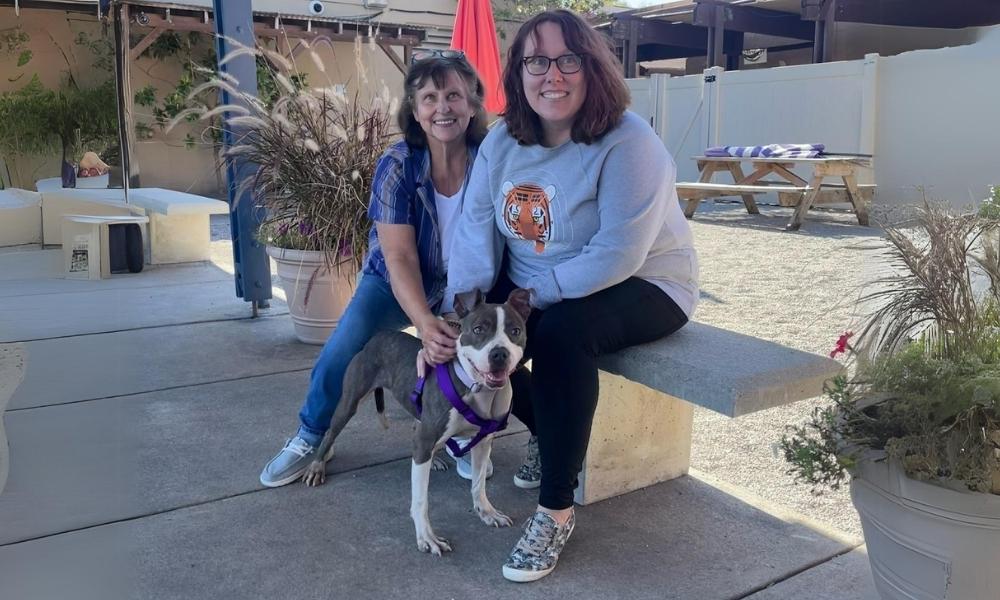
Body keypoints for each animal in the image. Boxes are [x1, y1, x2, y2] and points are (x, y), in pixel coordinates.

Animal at [300, 288, 532, 556]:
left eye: (515, 331)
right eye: (478, 329)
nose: (499, 354)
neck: (477, 389)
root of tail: (378, 337)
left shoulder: (483, 441)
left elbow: (478, 483)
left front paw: (487, 512)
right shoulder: (425, 439)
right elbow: (421, 499)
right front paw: (427, 537)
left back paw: (435, 460)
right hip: (349, 402)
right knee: (330, 432)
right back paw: (316, 467)